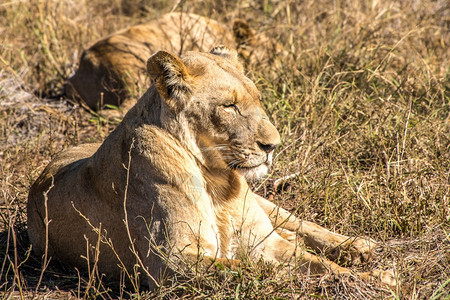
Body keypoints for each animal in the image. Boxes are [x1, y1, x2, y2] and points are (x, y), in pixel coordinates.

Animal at [28, 47, 394, 288]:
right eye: (229, 106)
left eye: (258, 99)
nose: (272, 145)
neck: (218, 180)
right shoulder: (169, 261)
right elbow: (256, 269)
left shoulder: (262, 240)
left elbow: (322, 265)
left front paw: (375, 278)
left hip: (267, 206)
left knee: (299, 223)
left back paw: (359, 247)